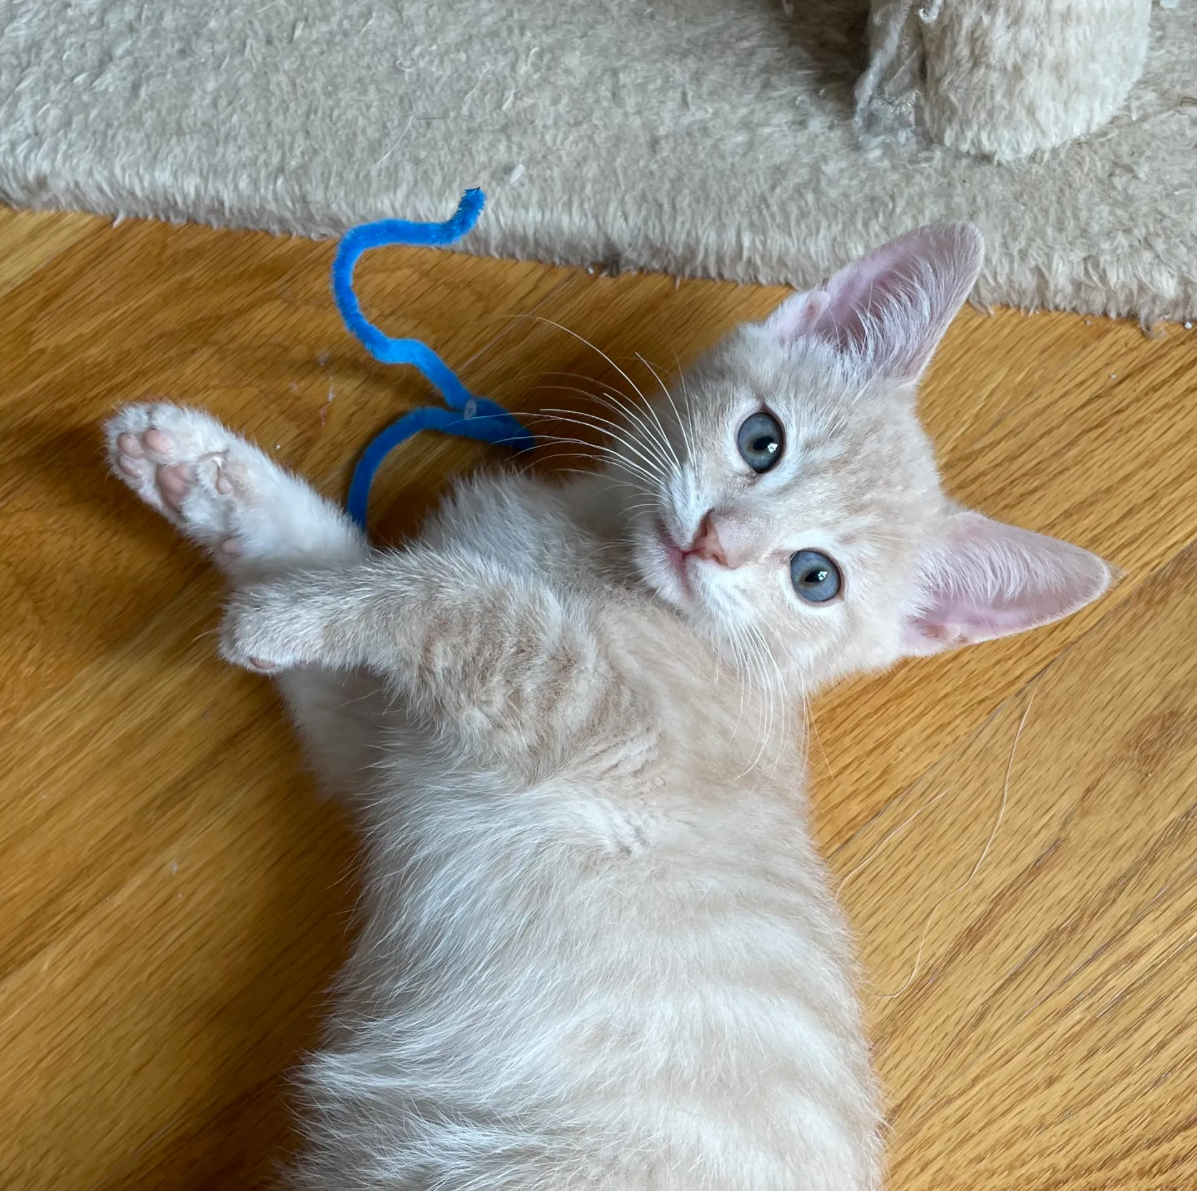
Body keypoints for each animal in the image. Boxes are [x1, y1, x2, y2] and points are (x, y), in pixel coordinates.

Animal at [105, 226, 1110, 1191]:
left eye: (813, 578)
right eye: (761, 440)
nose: (714, 541)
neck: (600, 554)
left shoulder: (592, 708)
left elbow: (452, 596)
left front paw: (289, 612)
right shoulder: (383, 742)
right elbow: (323, 549)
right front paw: (204, 471)